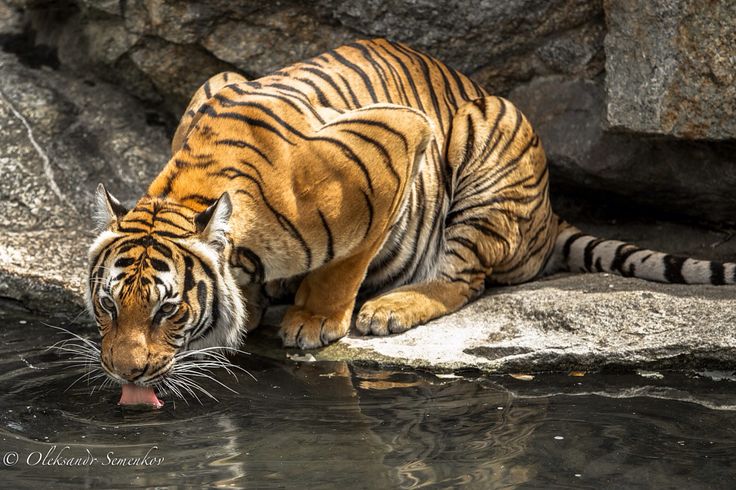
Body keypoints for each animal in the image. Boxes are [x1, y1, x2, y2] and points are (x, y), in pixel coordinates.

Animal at [87, 38, 736, 398]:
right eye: (107, 305)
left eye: (168, 309)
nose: (126, 375)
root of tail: (551, 215)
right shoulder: (214, 80)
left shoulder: (398, 137)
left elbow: (345, 263)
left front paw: (314, 321)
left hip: (487, 137)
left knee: (464, 279)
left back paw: (391, 308)